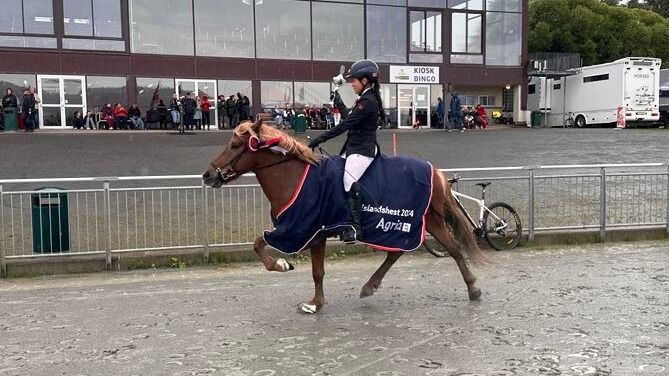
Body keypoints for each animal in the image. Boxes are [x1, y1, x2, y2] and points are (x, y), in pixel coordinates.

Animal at [202, 120, 486, 314]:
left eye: (236, 145)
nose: (207, 175)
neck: (293, 176)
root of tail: (434, 170)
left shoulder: (298, 229)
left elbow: (262, 245)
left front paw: (283, 267)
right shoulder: (314, 232)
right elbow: (316, 271)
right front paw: (316, 302)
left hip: (424, 221)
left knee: (454, 249)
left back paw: (473, 288)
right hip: (405, 225)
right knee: (399, 252)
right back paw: (370, 285)